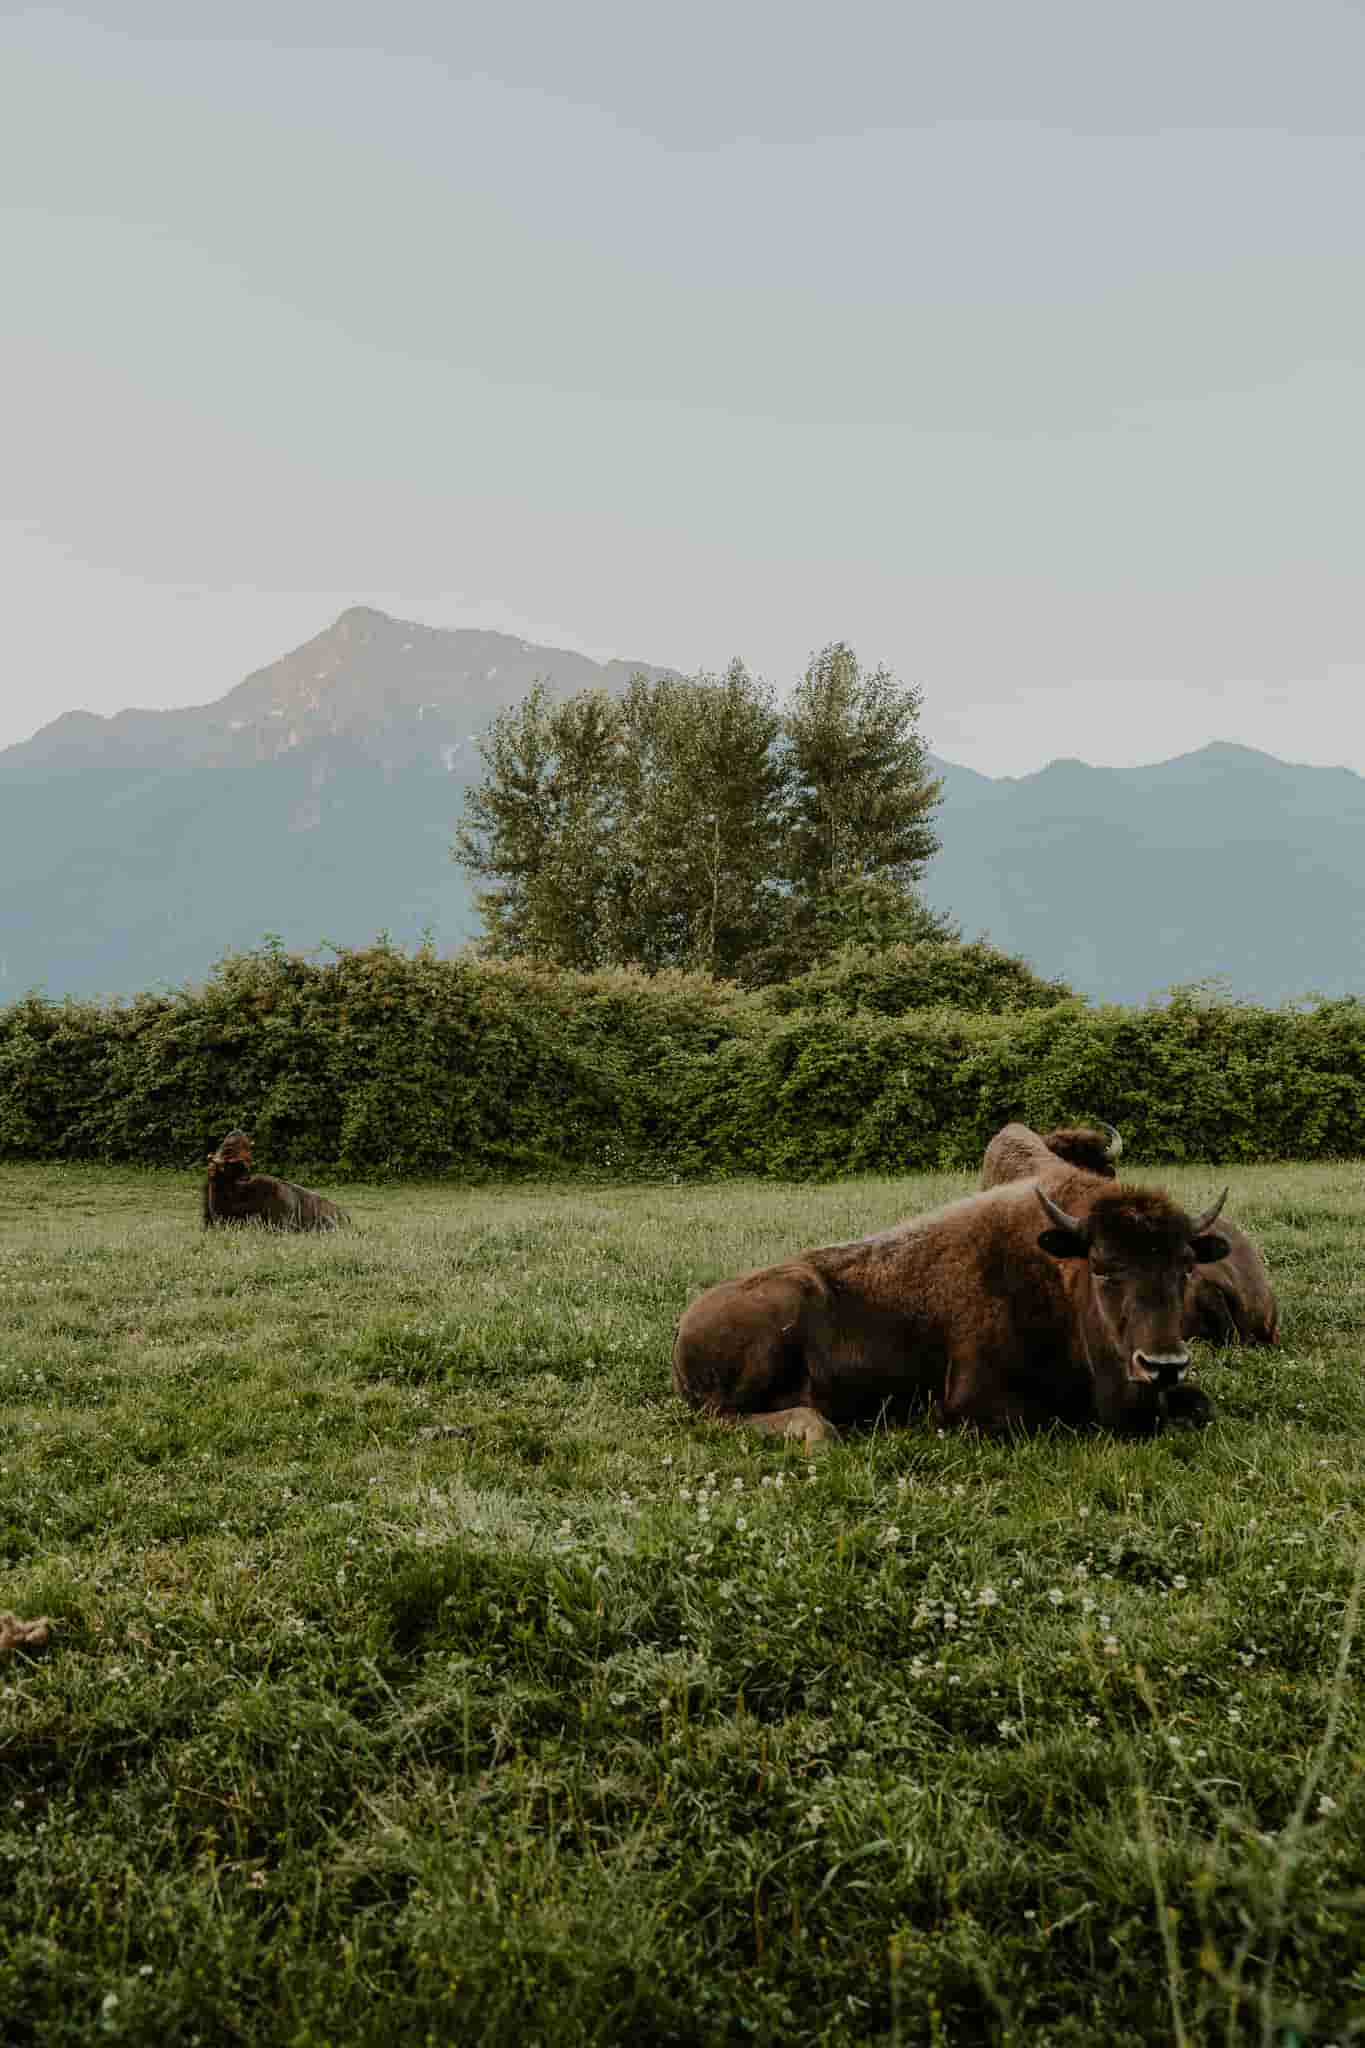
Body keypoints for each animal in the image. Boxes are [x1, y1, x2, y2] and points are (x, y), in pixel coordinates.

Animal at [672, 1171, 1232, 1445]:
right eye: (1101, 1266)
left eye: (1186, 1266)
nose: (1162, 1365)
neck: (1055, 1272)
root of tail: (684, 1327)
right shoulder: (975, 1401)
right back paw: (817, 1432)